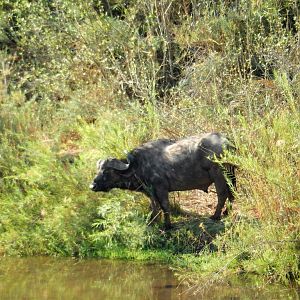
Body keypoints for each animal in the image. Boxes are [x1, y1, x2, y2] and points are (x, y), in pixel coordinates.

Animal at [90, 132, 236, 229]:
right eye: (98, 170)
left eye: (106, 171)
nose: (92, 186)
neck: (138, 165)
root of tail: (227, 142)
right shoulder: (151, 192)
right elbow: (154, 206)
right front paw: (152, 221)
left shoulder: (161, 188)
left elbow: (165, 206)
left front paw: (167, 225)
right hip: (231, 175)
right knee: (232, 193)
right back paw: (226, 212)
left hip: (218, 175)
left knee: (222, 194)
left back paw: (215, 216)